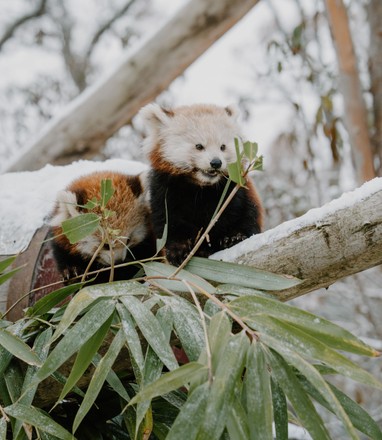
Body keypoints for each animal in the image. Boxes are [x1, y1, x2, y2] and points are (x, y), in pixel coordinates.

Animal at [139, 103, 264, 266]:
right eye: (199, 146)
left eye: (223, 147)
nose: (216, 162)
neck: (201, 187)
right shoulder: (163, 190)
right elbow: (169, 222)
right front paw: (178, 250)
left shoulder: (235, 189)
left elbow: (237, 215)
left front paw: (227, 238)